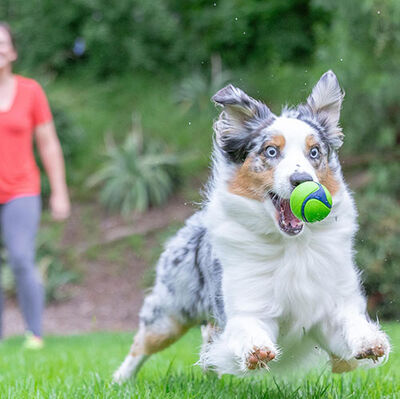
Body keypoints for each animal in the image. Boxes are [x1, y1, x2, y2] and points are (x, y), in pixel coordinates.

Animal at [112, 69, 390, 384]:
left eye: (314, 152)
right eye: (270, 151)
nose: (302, 180)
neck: (293, 247)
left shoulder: (330, 306)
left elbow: (349, 323)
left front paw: (370, 341)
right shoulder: (248, 306)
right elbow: (247, 328)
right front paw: (255, 349)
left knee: (207, 338)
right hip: (170, 313)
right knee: (143, 344)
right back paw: (120, 380)